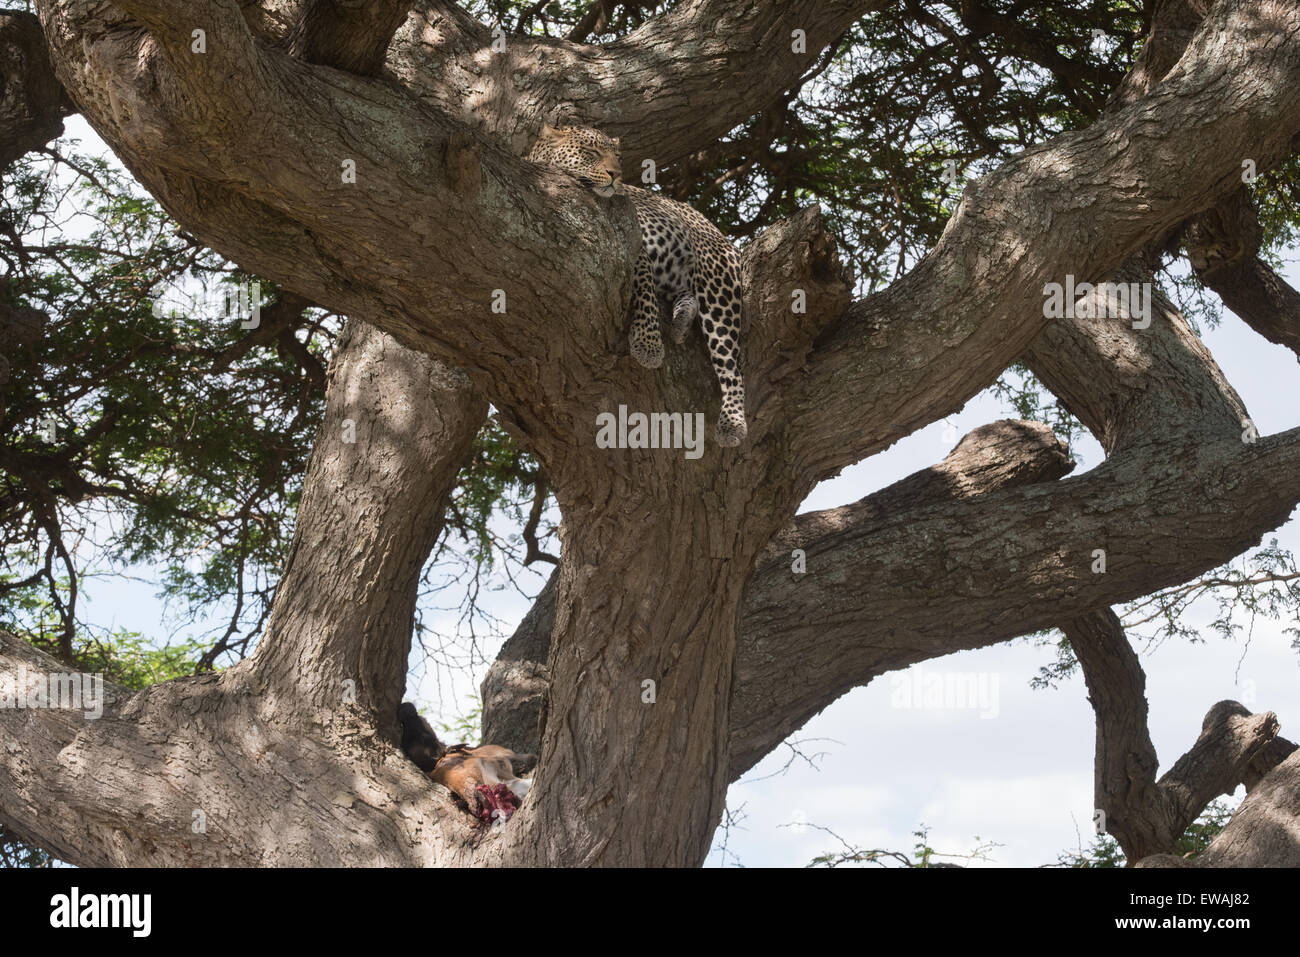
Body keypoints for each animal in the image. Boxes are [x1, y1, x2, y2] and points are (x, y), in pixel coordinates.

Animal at [525, 121, 748, 447]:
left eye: (617, 157)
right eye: (591, 152)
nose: (615, 175)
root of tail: (721, 235)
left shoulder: (636, 247)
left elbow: (644, 294)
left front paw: (647, 345)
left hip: (716, 280)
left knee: (731, 363)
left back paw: (733, 423)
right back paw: (681, 321)